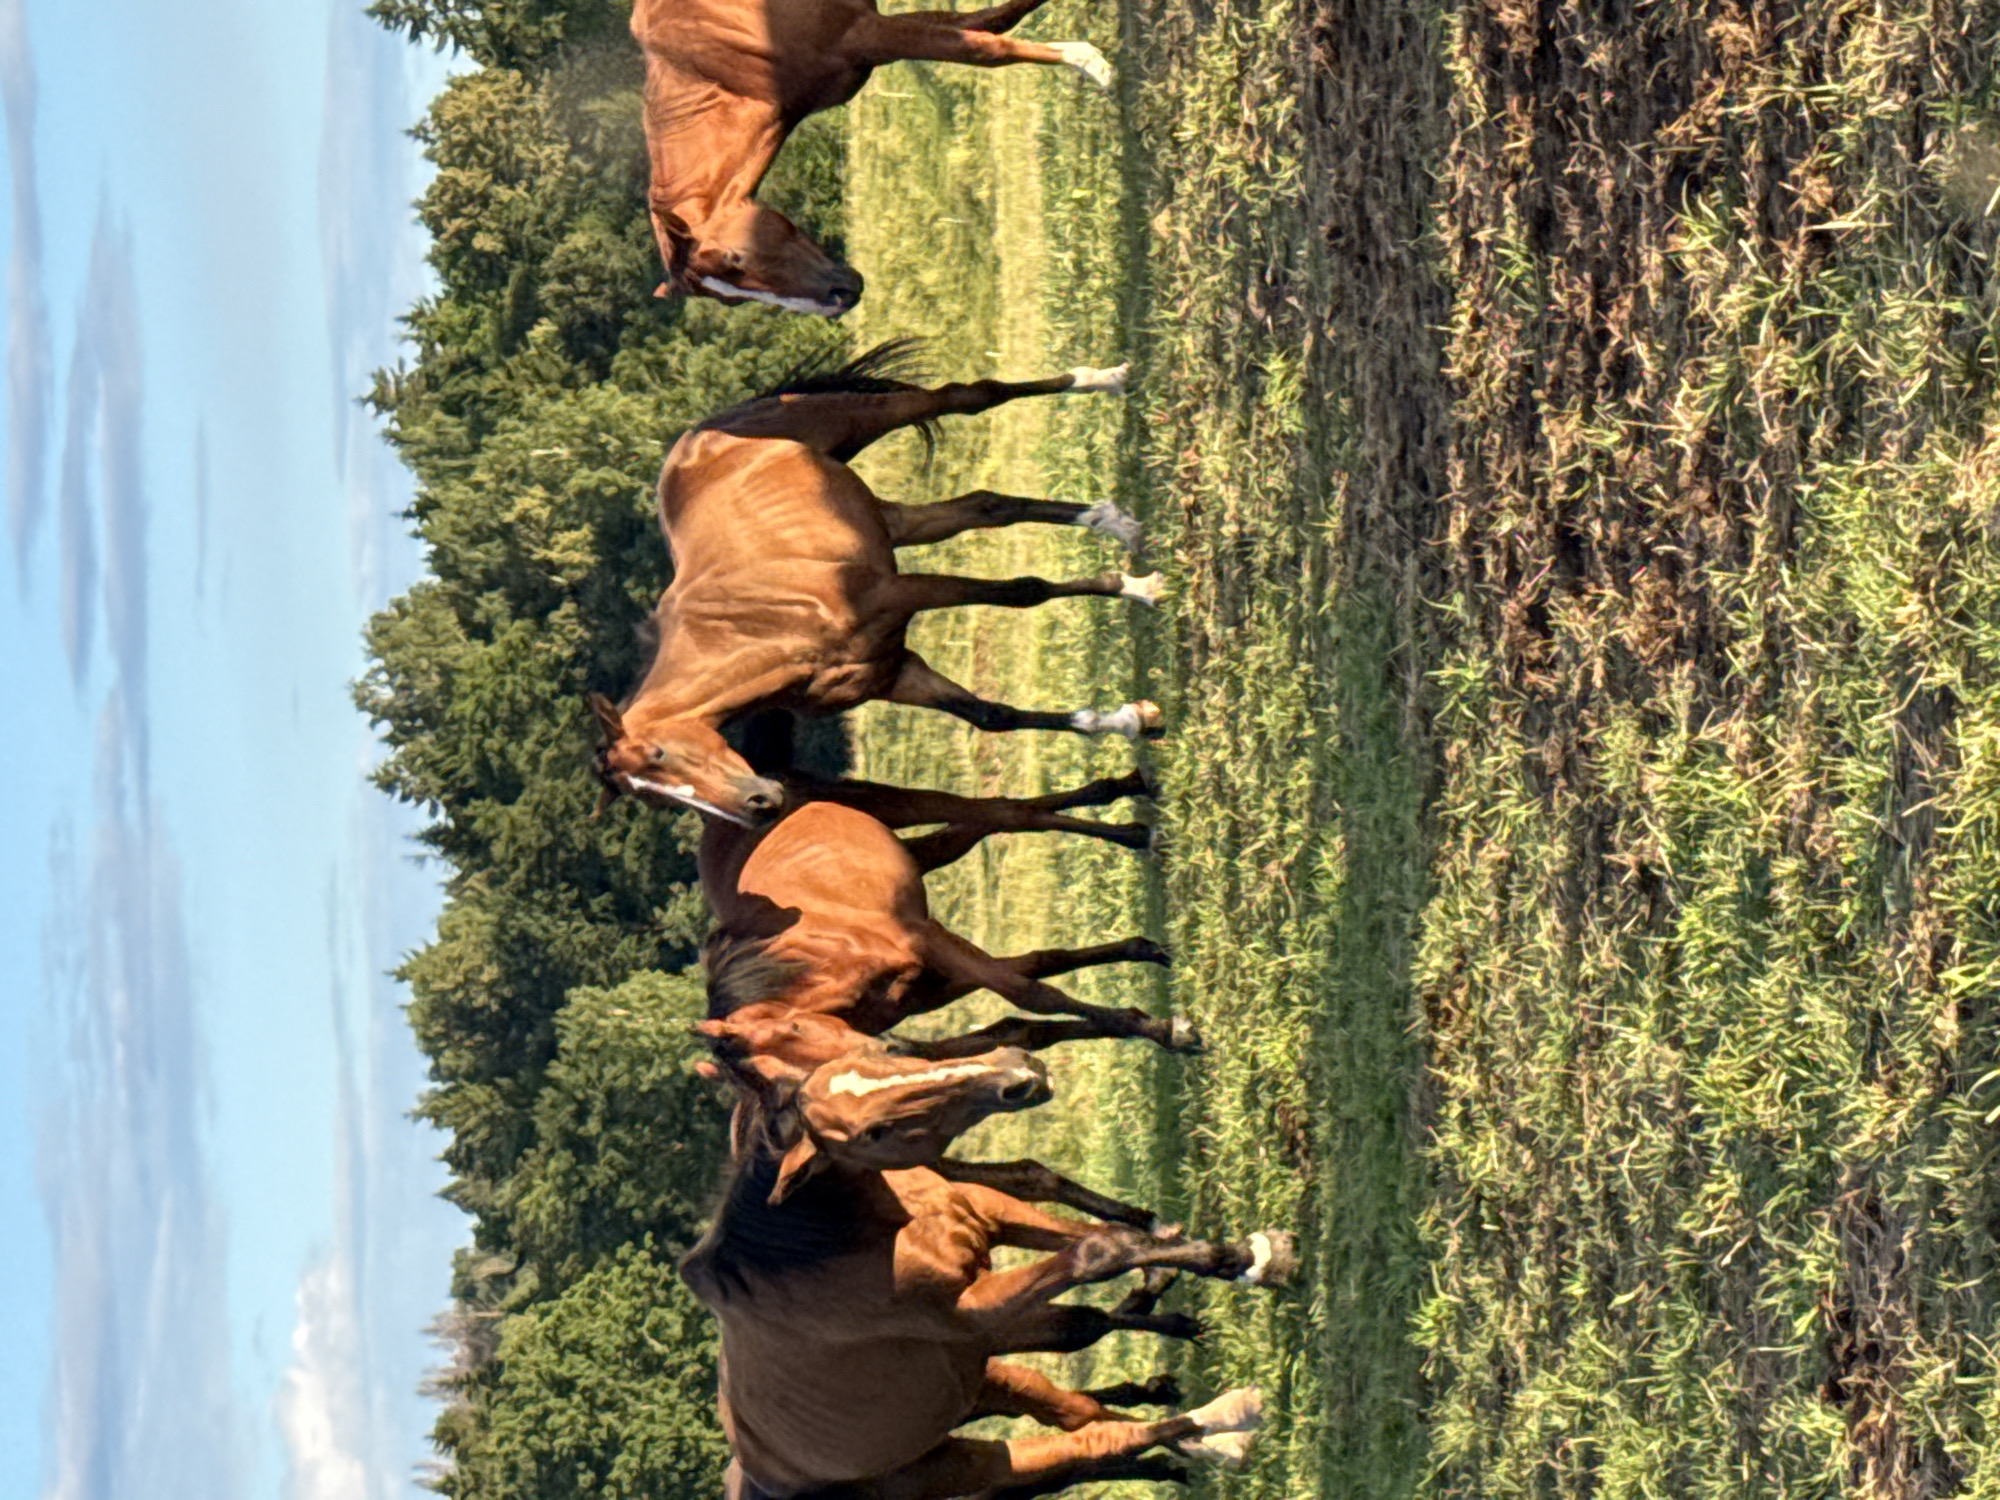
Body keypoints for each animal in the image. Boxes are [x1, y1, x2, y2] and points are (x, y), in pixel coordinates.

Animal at [591, 343, 1163, 826]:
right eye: (653, 796)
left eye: (660, 754)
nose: (761, 805)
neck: (761, 629)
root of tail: (707, 430)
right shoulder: (893, 674)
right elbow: (994, 716)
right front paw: (1129, 721)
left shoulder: (902, 592)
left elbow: (1023, 591)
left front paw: (1137, 590)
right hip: (890, 520)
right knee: (985, 505)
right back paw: (1111, 520)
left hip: (865, 416)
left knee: (968, 395)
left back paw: (1103, 382)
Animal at [632, 0, 1113, 315]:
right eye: (730, 299)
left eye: (737, 258)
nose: (840, 299)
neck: (717, 64)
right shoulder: (872, 29)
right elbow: (986, 23)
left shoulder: (863, 34)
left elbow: (982, 47)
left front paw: (1088, 62)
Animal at [683, 1045, 1289, 1500]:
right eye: (871, 1132)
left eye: (883, 1050)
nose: (1019, 1074)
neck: (828, 1240)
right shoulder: (976, 1310)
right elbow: (1097, 1253)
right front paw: (1237, 1260)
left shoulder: (991, 1217)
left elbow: (1101, 1241)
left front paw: (1236, 1256)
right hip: (964, 1460)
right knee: (1092, 1441)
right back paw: (1224, 1422)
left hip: (986, 1384)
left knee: (1079, 1401)